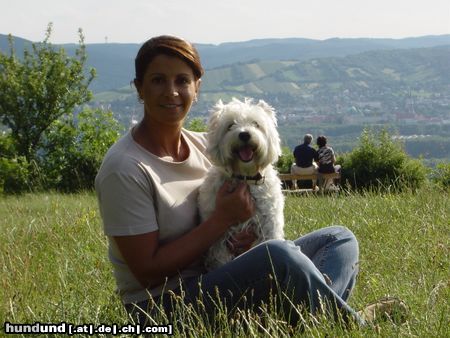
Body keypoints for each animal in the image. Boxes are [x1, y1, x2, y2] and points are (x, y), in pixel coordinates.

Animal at [198, 97, 284, 270]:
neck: (245, 177)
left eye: (256, 123)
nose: (244, 134)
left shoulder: (269, 223)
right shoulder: (219, 233)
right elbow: (220, 257)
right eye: (230, 125)